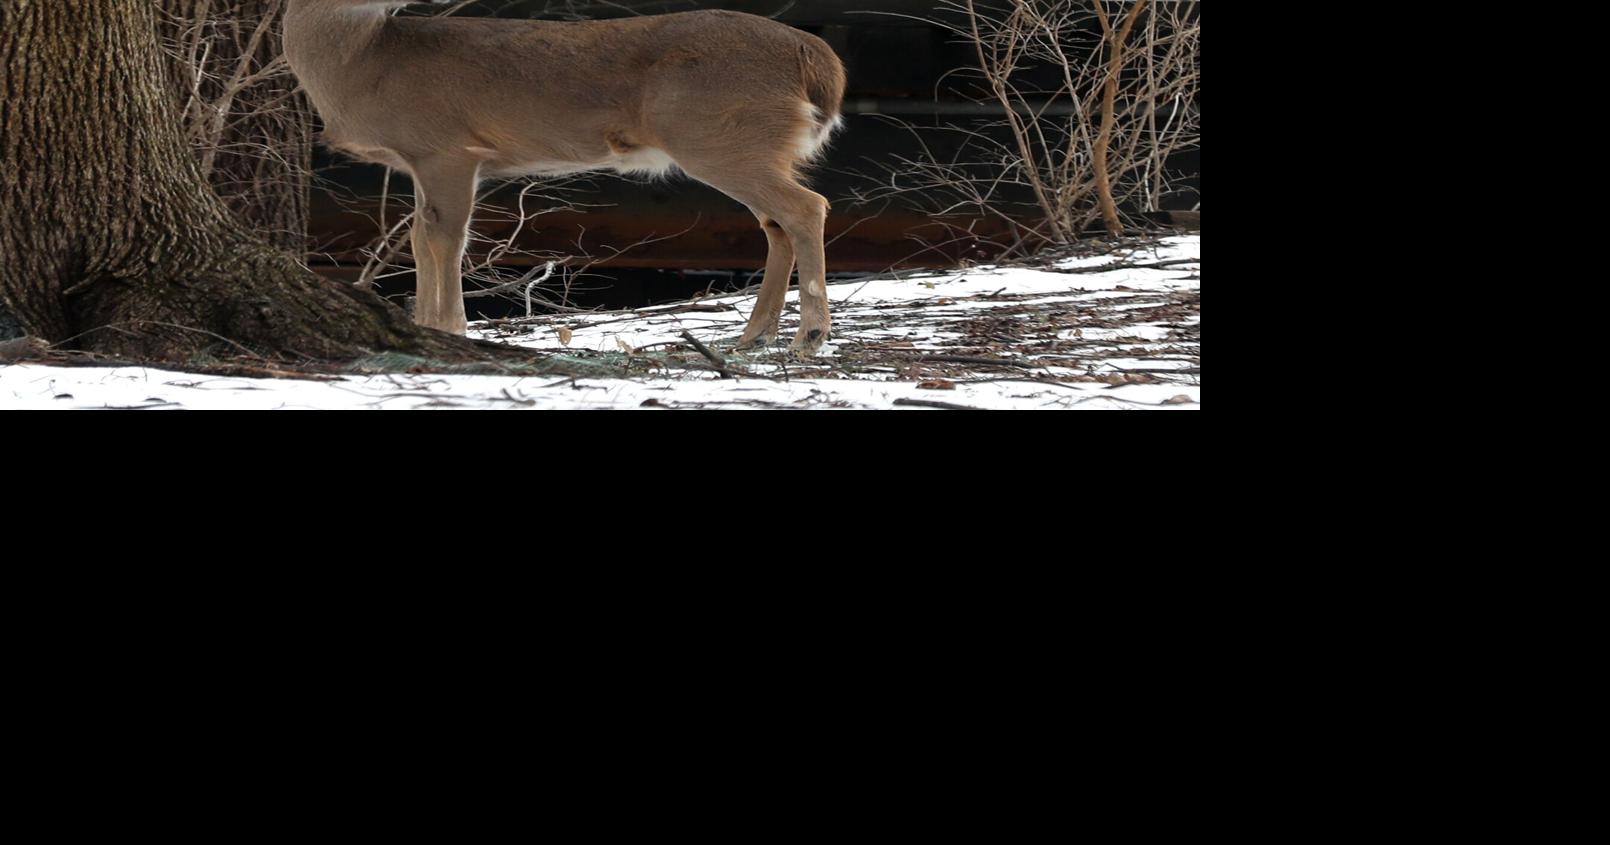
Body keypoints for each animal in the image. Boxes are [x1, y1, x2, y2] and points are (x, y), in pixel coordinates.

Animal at [282, 0, 847, 355]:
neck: (366, 67)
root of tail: (821, 62)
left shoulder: (447, 147)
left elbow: (445, 240)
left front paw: (450, 328)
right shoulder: (422, 160)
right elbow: (422, 240)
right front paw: (427, 325)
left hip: (720, 137)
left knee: (807, 207)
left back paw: (809, 338)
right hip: (747, 144)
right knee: (776, 224)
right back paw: (755, 336)